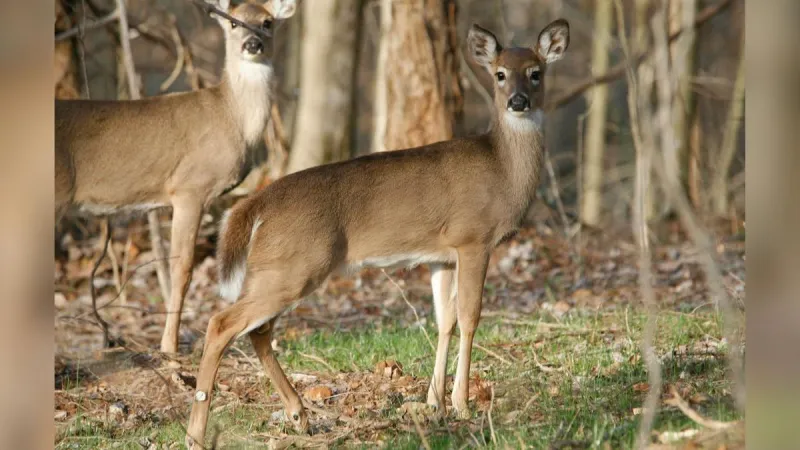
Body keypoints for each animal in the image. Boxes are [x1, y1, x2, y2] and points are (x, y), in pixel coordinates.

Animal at [54, 0, 297, 354]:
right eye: (234, 23)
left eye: (267, 22)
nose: (253, 44)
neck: (233, 118)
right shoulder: (190, 187)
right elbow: (181, 269)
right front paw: (169, 346)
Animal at [185, 19, 570, 449]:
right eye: (500, 74)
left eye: (536, 73)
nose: (518, 101)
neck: (503, 171)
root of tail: (256, 203)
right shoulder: (474, 237)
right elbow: (470, 317)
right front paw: (462, 405)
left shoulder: (442, 254)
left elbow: (445, 319)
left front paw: (434, 402)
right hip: (294, 266)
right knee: (223, 323)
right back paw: (197, 432)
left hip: (276, 268)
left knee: (258, 331)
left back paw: (299, 414)